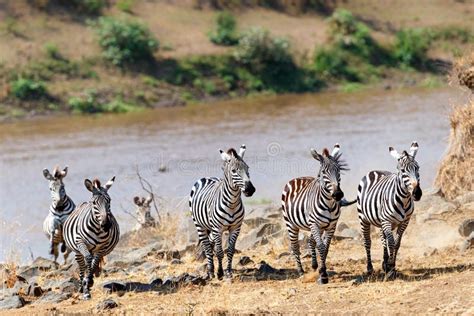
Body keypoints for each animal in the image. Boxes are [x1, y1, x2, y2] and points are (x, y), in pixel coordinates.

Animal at [188, 144, 256, 278]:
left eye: (248, 168)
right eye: (234, 171)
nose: (250, 190)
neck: (232, 203)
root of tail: (206, 177)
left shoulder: (236, 228)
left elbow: (230, 251)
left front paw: (228, 272)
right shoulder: (217, 229)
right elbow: (219, 252)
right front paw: (220, 273)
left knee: (210, 244)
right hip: (200, 225)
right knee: (207, 247)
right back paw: (211, 271)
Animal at [280, 144, 354, 286]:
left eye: (338, 171)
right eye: (323, 173)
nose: (338, 194)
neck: (329, 204)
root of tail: (296, 178)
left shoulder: (331, 226)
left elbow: (326, 247)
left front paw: (321, 270)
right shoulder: (314, 223)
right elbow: (321, 246)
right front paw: (323, 275)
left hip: (317, 227)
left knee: (310, 241)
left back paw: (314, 266)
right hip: (291, 224)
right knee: (295, 246)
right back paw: (301, 272)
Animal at [356, 142, 422, 278]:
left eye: (417, 168)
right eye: (402, 171)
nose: (417, 193)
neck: (404, 200)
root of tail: (374, 171)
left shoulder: (405, 222)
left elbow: (396, 243)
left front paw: (391, 266)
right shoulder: (387, 221)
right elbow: (391, 243)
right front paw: (391, 269)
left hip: (382, 222)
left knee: (383, 239)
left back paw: (384, 263)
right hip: (364, 219)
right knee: (367, 241)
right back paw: (370, 268)